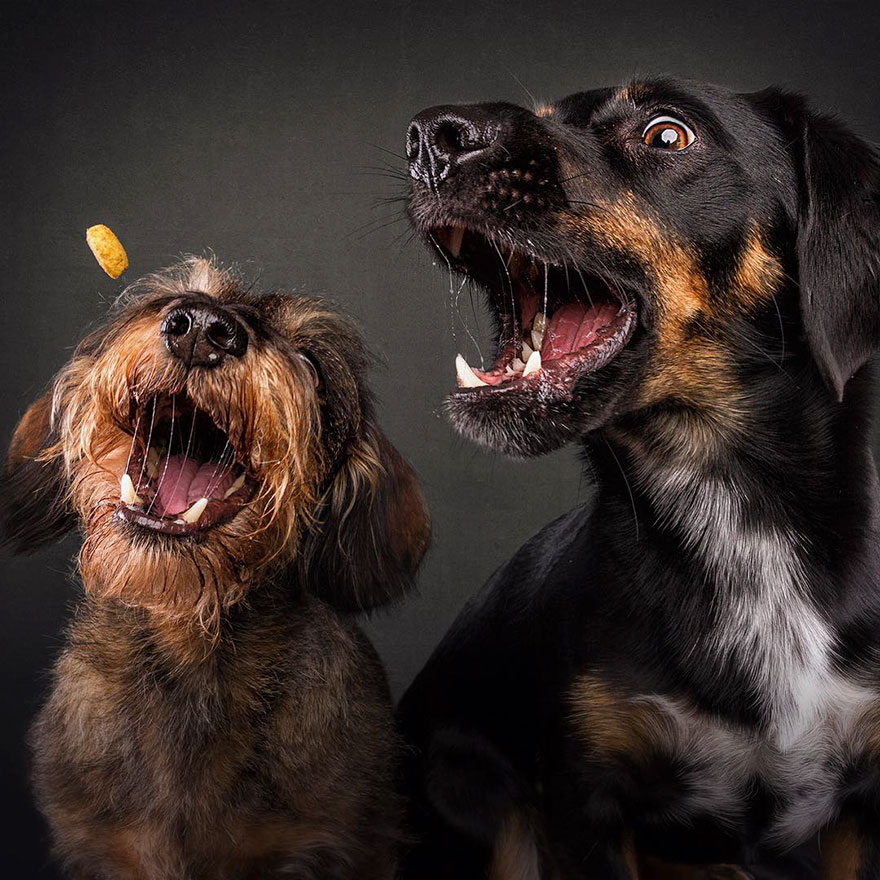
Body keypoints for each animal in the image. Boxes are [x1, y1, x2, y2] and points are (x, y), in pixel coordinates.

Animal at [398, 79, 880, 876]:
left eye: (666, 134)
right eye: (546, 115)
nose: (429, 138)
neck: (729, 503)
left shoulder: (860, 803)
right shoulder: (585, 801)